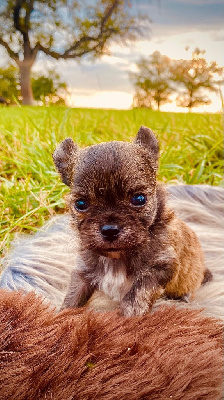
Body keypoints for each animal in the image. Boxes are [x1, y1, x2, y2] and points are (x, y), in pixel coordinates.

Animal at [53, 126, 212, 318]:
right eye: (81, 204)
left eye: (139, 199)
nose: (110, 230)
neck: (118, 256)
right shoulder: (84, 273)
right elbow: (73, 296)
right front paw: (61, 315)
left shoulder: (160, 267)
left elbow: (138, 292)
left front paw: (130, 317)